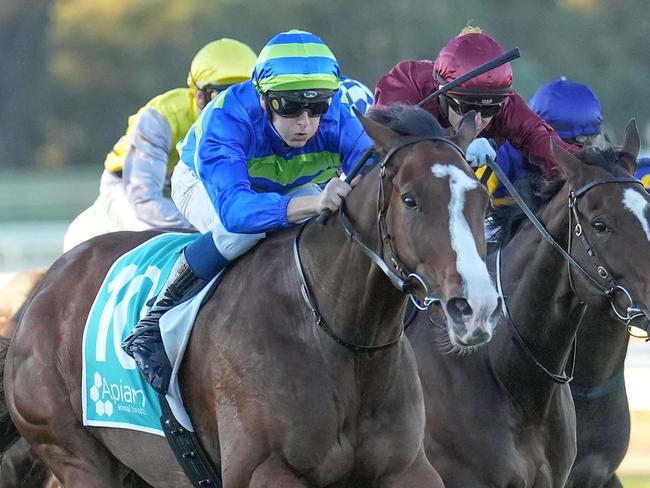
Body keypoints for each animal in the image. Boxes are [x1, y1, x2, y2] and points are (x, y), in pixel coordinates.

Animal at [0, 107, 498, 488]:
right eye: (410, 200)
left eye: (483, 202)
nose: (474, 308)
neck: (337, 336)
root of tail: (44, 288)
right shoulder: (263, 471)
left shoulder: (407, 468)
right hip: (75, 454)